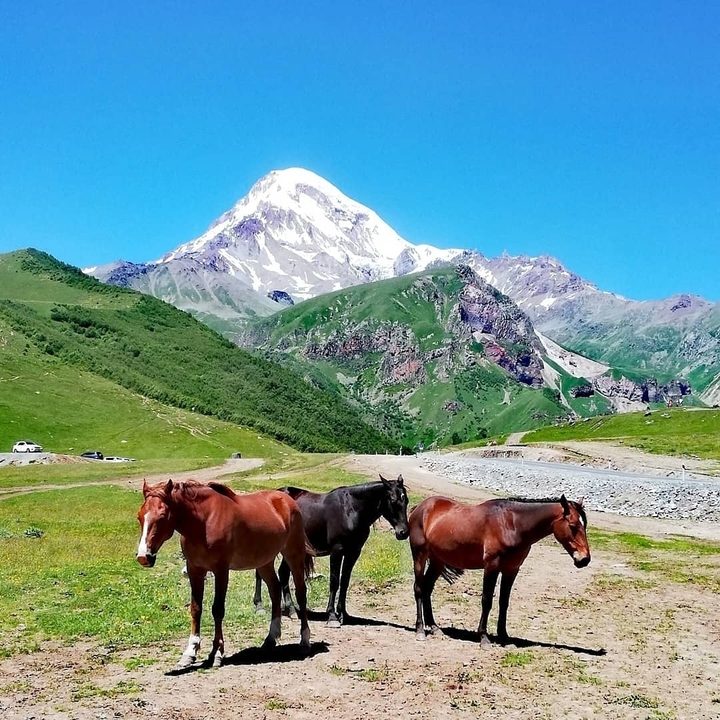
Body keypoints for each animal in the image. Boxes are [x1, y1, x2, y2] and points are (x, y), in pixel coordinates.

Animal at [136, 479, 313, 667]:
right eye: (139, 516)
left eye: (162, 516)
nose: (143, 557)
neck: (203, 522)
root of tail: (287, 499)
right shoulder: (195, 570)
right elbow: (195, 609)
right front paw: (190, 652)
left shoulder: (221, 571)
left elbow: (217, 610)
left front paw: (217, 653)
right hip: (264, 562)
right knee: (275, 589)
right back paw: (270, 639)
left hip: (294, 555)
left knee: (301, 593)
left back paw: (304, 641)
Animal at [253, 474, 409, 627]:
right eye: (393, 500)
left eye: (406, 500)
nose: (403, 533)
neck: (351, 509)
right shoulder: (337, 551)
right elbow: (334, 582)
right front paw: (332, 616)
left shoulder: (354, 552)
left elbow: (344, 581)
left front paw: (343, 614)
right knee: (261, 573)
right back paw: (259, 607)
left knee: (283, 573)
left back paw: (291, 611)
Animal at [409, 494, 590, 646]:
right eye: (573, 526)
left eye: (585, 526)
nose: (585, 559)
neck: (513, 524)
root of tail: (420, 508)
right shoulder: (492, 566)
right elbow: (487, 600)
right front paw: (484, 638)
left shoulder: (511, 570)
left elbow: (504, 602)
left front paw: (504, 637)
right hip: (420, 556)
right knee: (419, 589)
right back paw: (420, 630)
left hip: (438, 561)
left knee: (427, 589)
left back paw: (434, 627)